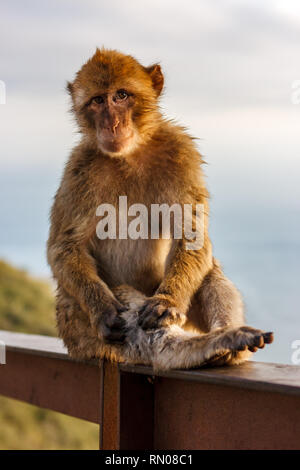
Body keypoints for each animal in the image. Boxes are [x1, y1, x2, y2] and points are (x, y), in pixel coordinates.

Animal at [46, 48, 272, 370]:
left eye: (121, 95)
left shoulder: (181, 153)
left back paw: (226, 341)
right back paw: (211, 345)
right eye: (98, 100)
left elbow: (192, 236)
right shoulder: (78, 169)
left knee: (207, 269)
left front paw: (166, 302)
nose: (112, 124)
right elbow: (65, 247)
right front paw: (102, 309)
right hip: (76, 326)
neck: (128, 155)